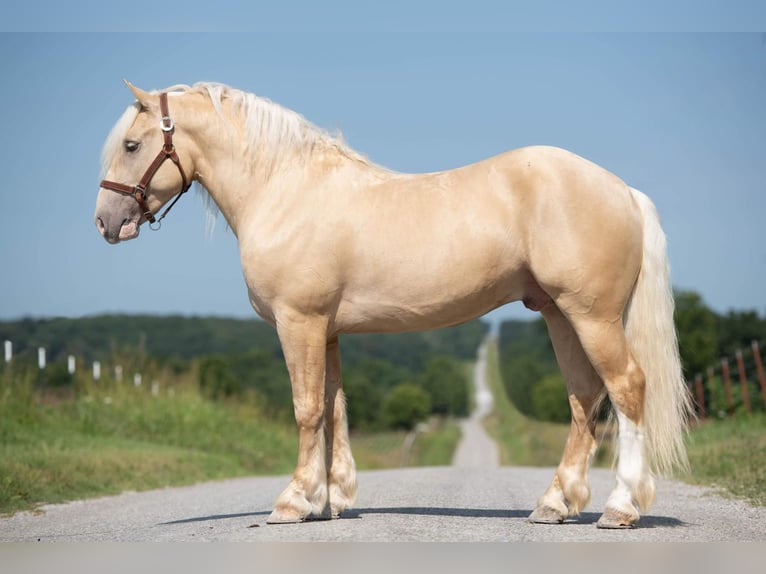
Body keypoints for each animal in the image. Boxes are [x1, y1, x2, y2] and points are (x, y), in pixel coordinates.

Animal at [94, 81, 692, 528]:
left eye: (132, 145)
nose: (106, 222)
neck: (285, 190)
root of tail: (623, 190)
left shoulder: (298, 322)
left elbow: (307, 409)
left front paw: (293, 502)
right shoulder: (327, 330)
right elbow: (334, 407)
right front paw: (329, 501)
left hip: (591, 316)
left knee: (626, 388)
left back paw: (619, 509)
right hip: (558, 314)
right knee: (583, 398)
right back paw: (554, 504)